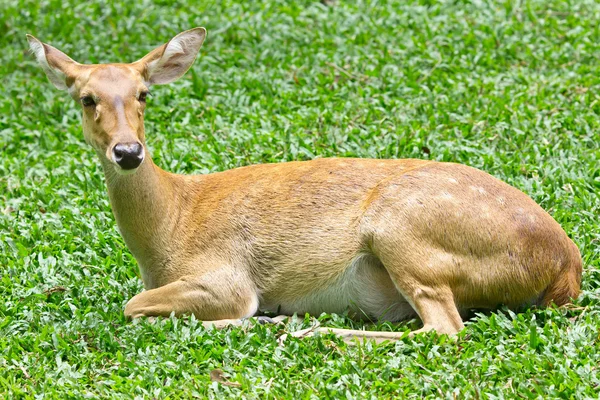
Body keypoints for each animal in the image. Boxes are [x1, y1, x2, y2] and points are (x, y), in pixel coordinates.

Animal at [27, 28, 580, 342]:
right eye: (86, 98)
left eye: (144, 93)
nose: (128, 152)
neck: (169, 231)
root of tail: (565, 267)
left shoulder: (224, 274)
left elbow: (135, 308)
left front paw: (262, 318)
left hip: (405, 231)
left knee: (445, 330)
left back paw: (310, 329)